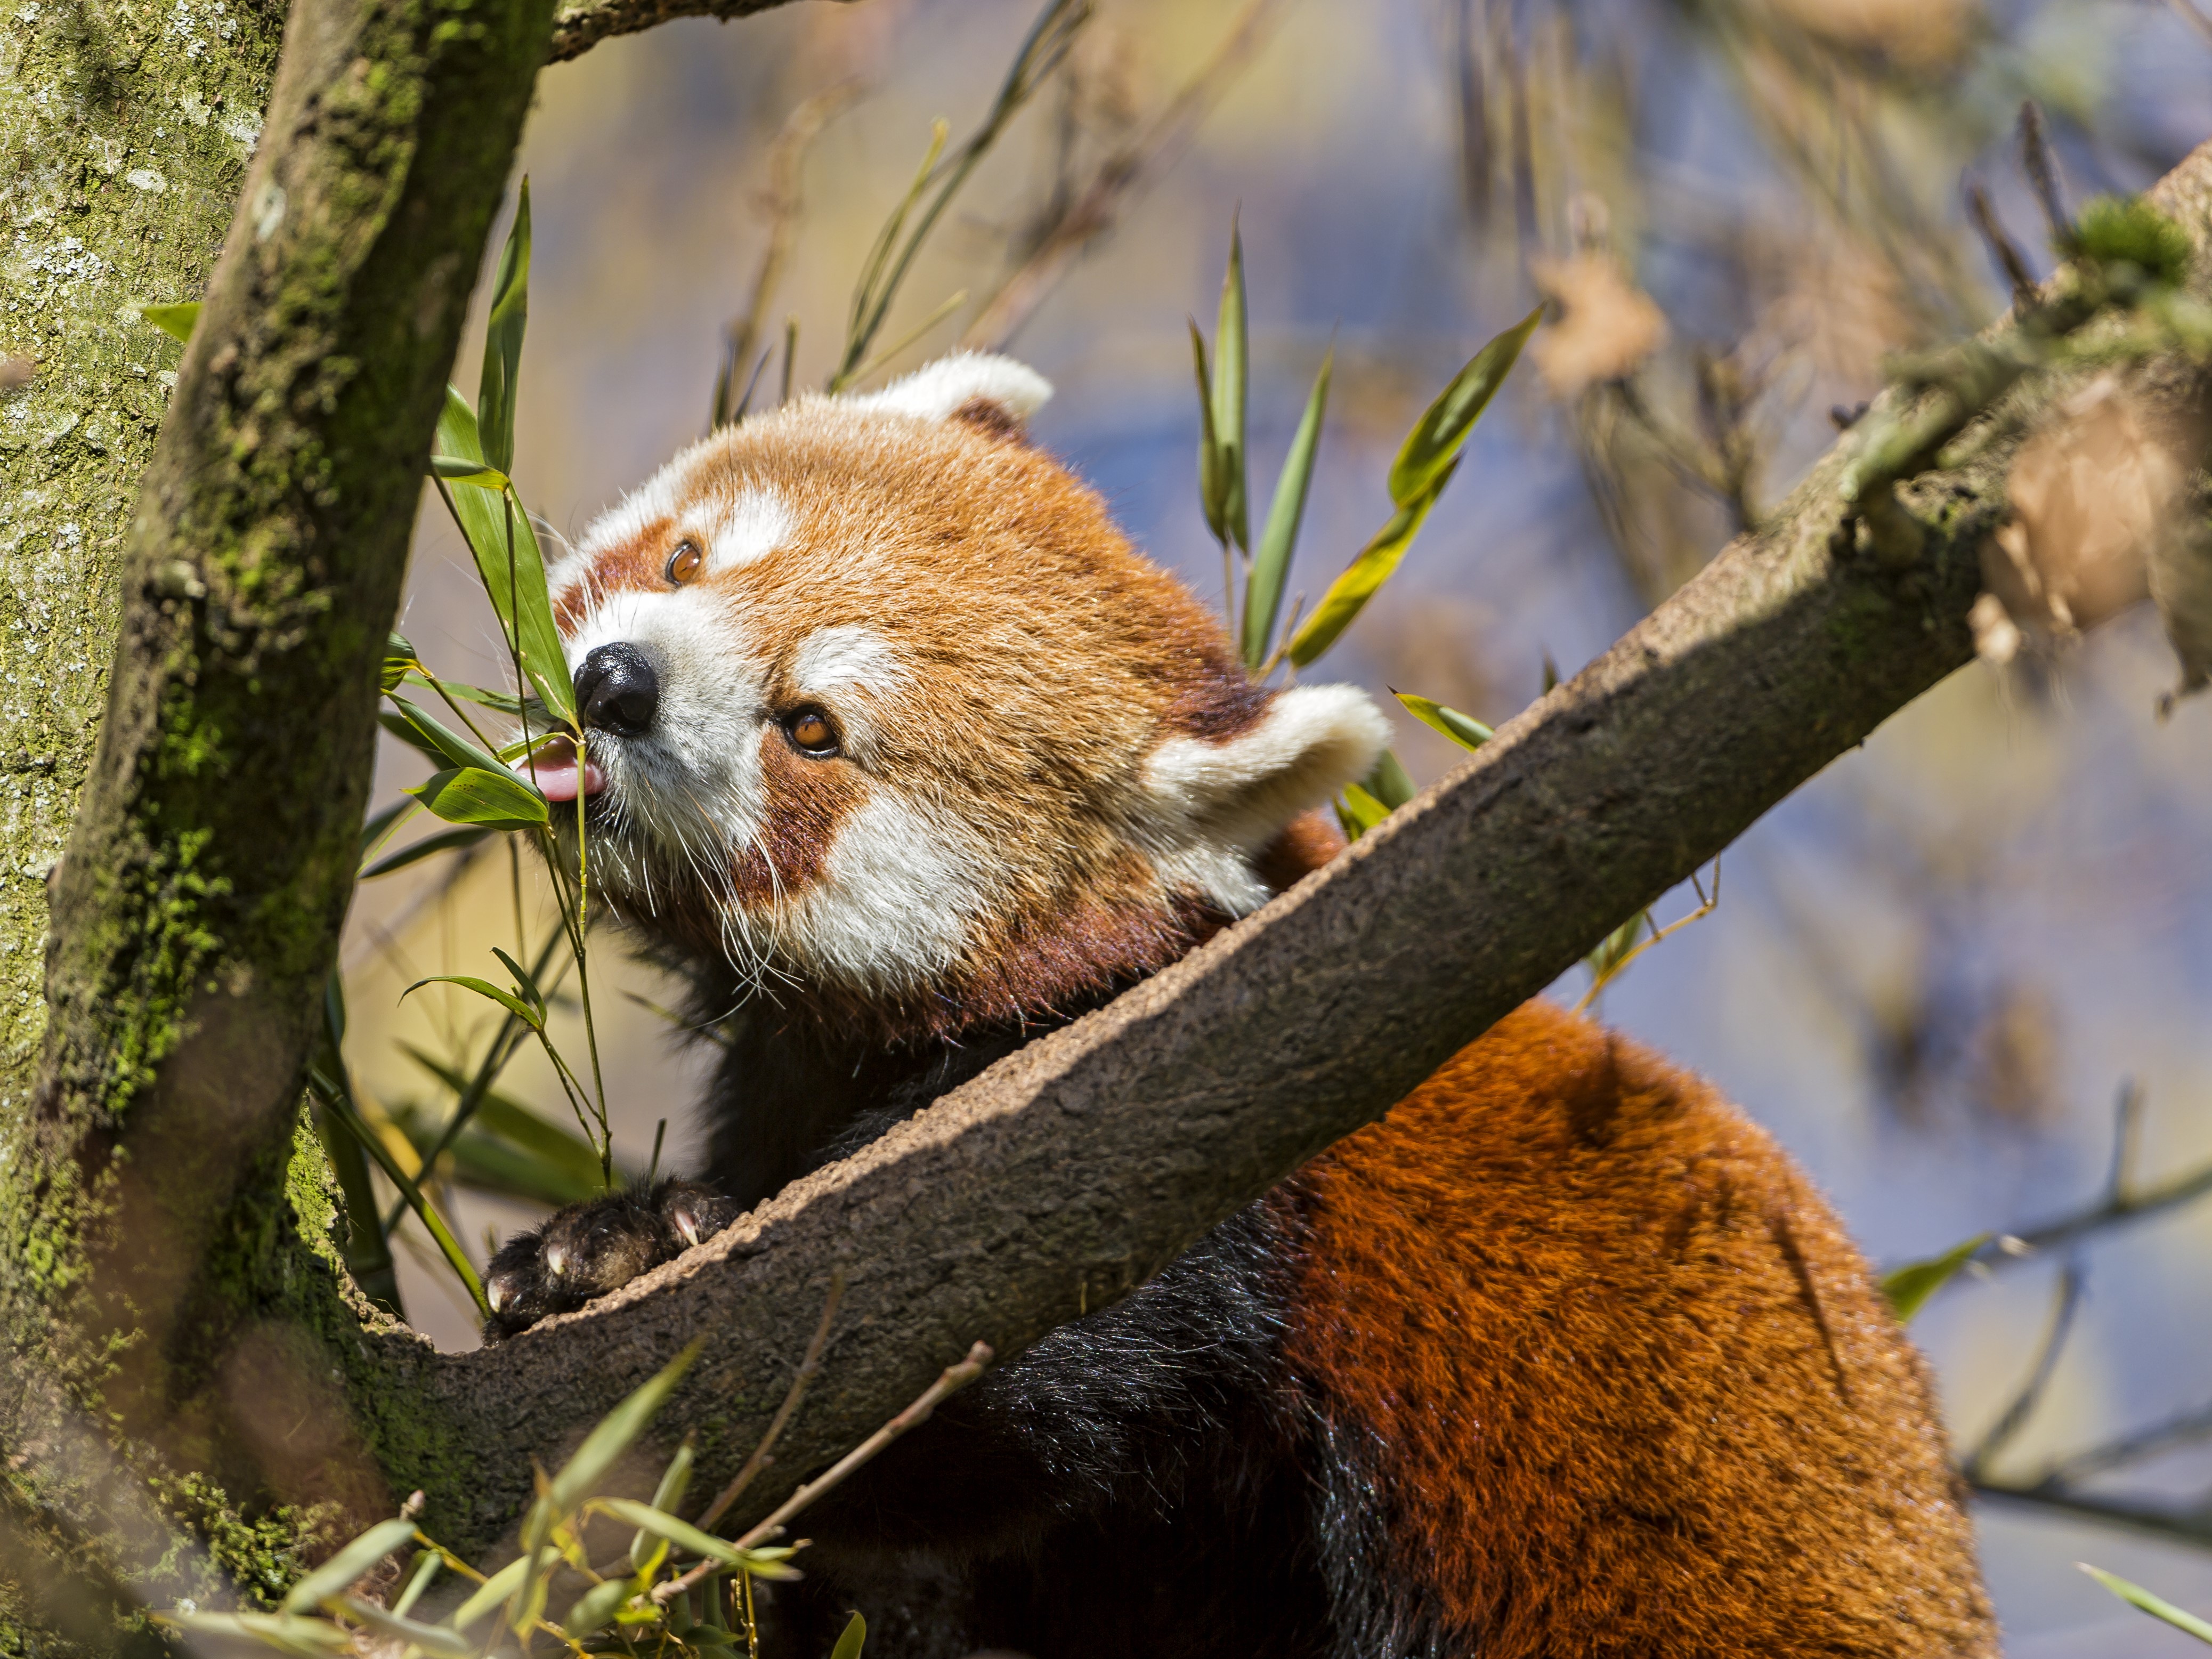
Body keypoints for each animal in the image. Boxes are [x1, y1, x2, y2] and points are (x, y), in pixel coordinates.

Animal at [479, 353, 1996, 1658]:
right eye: (686, 558)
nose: (615, 682)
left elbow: (956, 1412)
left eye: (811, 729)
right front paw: (610, 1244)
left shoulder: (1168, 1163)